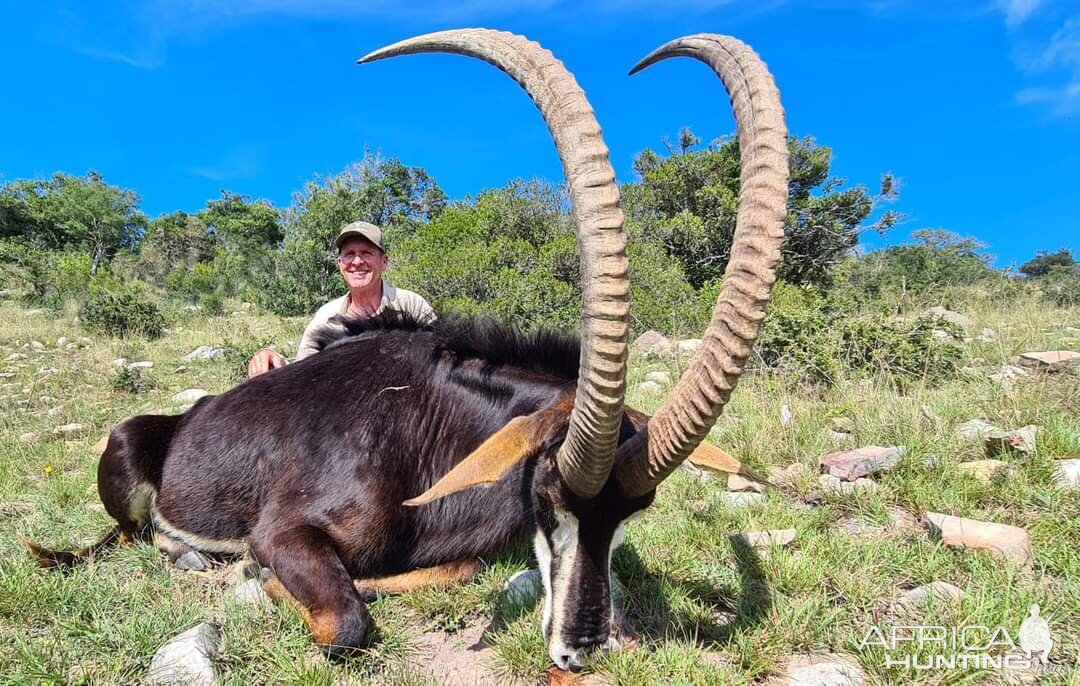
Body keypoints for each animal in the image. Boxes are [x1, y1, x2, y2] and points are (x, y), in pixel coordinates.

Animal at [25, 30, 786, 669]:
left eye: (636, 511)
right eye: (547, 495)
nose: (579, 650)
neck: (420, 424)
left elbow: (454, 567)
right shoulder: (283, 533)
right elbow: (347, 621)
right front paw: (261, 577)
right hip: (129, 457)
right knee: (138, 535)